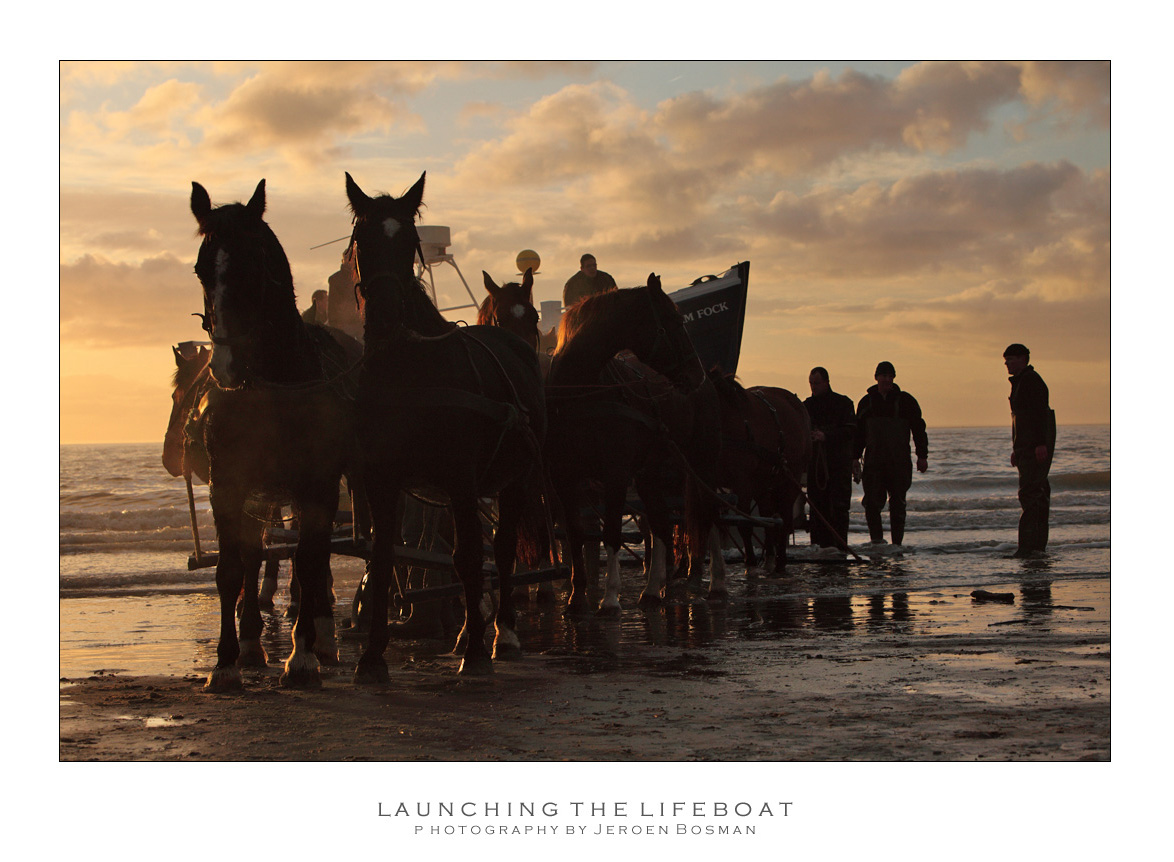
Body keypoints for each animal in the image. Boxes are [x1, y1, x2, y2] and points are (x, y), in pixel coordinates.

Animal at [190, 178, 361, 690]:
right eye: (202, 269)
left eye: (252, 267)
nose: (225, 366)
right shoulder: (228, 485)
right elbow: (232, 568)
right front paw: (227, 661)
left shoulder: (318, 486)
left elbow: (308, 560)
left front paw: (301, 657)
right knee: (258, 555)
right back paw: (252, 642)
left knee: (316, 560)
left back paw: (321, 639)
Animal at [342, 173, 547, 681]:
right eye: (362, 239)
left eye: (410, 242)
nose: (386, 312)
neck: (409, 366)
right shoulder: (380, 479)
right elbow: (384, 557)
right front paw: (372, 656)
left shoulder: (461, 478)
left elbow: (472, 556)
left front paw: (476, 650)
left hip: (514, 480)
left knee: (503, 547)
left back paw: (501, 634)